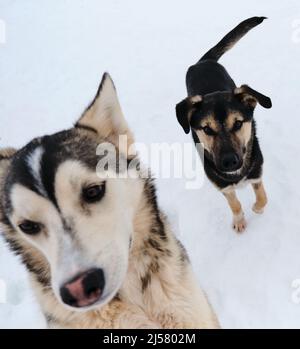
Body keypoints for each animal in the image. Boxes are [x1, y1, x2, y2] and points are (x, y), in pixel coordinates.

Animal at [176, 17, 272, 232]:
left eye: (238, 124)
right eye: (206, 129)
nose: (229, 162)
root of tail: (203, 62)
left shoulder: (257, 172)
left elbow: (263, 197)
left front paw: (257, 208)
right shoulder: (222, 186)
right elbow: (234, 203)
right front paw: (239, 220)